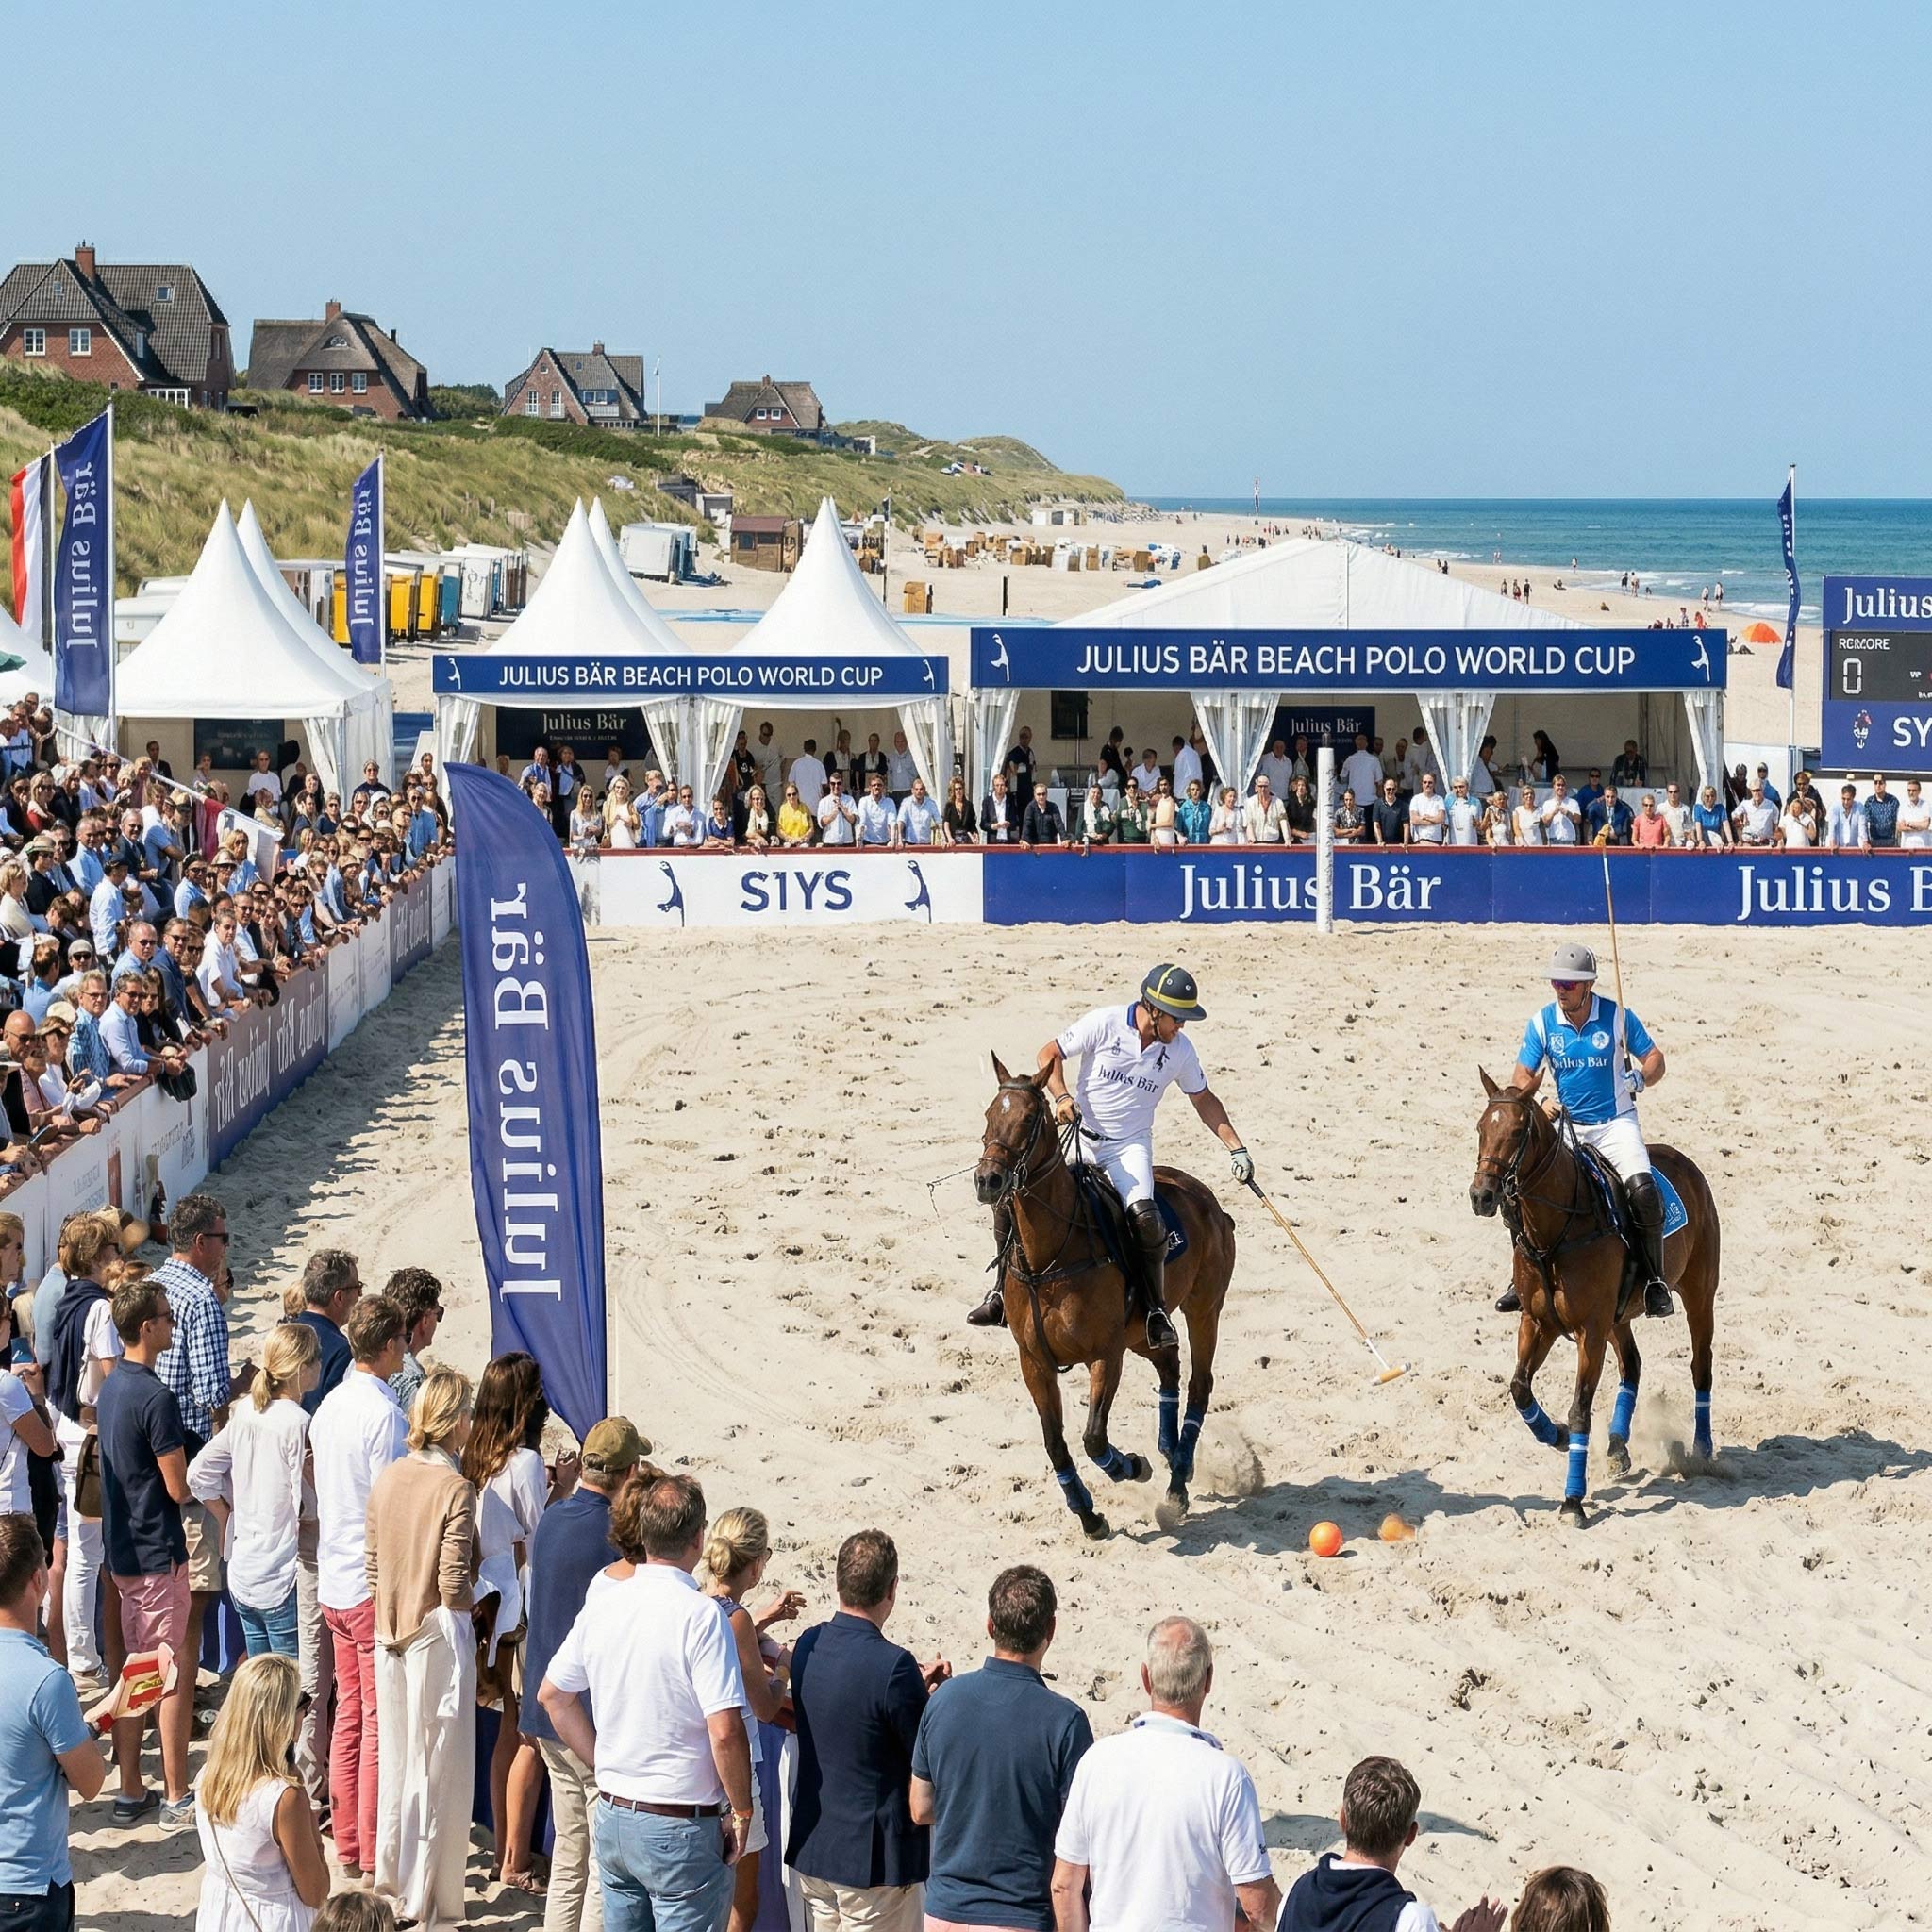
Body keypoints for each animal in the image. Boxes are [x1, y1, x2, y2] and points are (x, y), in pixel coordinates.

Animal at [974, 1054, 1238, 1536]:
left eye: (1028, 1119)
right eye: (989, 1115)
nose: (988, 1180)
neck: (1050, 1259)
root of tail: (1210, 1200)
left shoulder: (1104, 1354)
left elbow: (1094, 1438)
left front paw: (1132, 1466)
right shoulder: (1033, 1361)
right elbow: (1055, 1442)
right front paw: (1088, 1514)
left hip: (1203, 1310)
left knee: (1199, 1383)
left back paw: (1175, 1483)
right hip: (1140, 1333)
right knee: (1168, 1363)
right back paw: (1171, 1450)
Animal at [1470, 1069, 1719, 1523]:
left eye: (1516, 1133)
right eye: (1481, 1128)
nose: (1481, 1196)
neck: (1555, 1232)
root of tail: (1686, 1164)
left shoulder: (1589, 1330)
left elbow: (1580, 1410)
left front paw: (1573, 1500)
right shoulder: (1538, 1323)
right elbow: (1519, 1388)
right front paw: (1555, 1435)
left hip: (1698, 1294)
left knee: (1701, 1367)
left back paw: (1702, 1450)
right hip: (1616, 1318)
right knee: (1632, 1365)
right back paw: (1618, 1446)